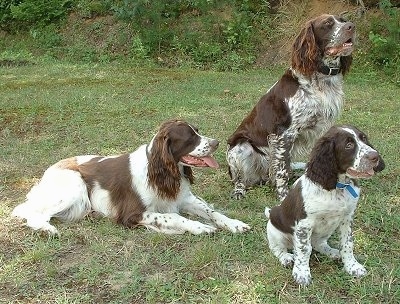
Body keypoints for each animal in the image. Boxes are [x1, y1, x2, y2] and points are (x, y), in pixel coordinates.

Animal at [11, 119, 250, 235]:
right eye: (190, 137)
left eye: (198, 131)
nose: (217, 143)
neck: (163, 173)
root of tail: (49, 171)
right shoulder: (133, 214)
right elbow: (174, 217)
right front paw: (200, 227)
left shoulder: (184, 198)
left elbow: (213, 212)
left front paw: (235, 224)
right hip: (74, 186)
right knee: (33, 215)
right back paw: (48, 230)